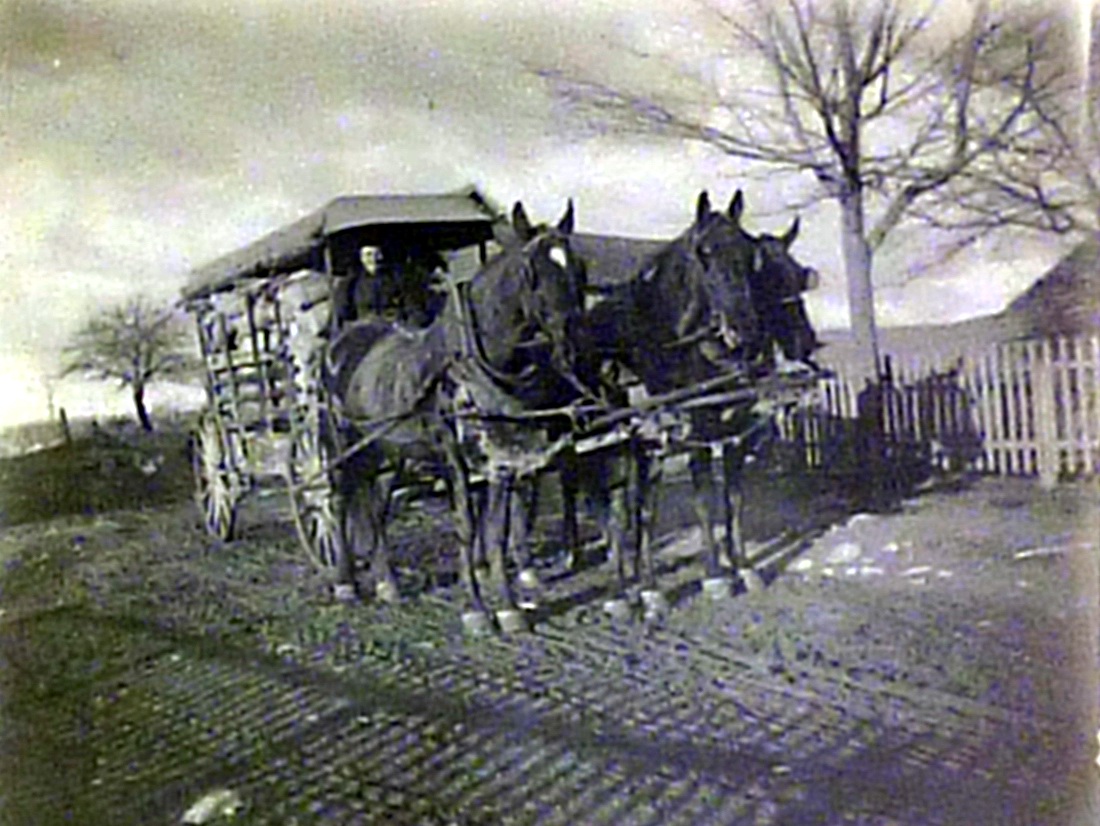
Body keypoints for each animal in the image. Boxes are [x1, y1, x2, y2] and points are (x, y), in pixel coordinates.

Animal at [322, 201, 590, 632]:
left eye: (579, 266)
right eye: (531, 272)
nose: (574, 347)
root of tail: (342, 340)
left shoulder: (502, 460)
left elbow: (496, 529)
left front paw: (508, 607)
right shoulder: (454, 459)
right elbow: (466, 524)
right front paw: (476, 608)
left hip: (388, 452)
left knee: (373, 505)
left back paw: (386, 581)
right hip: (341, 443)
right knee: (339, 498)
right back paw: (346, 581)